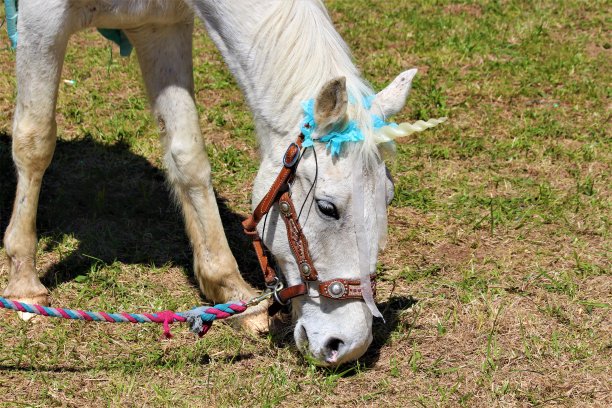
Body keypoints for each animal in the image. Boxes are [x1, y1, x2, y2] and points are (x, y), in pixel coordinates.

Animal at [3, 0, 436, 366]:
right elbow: (35, 140)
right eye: (328, 207)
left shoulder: (159, 25)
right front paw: (23, 283)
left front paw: (231, 291)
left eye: (388, 198)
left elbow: (187, 156)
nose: (347, 345)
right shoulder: (41, 21)